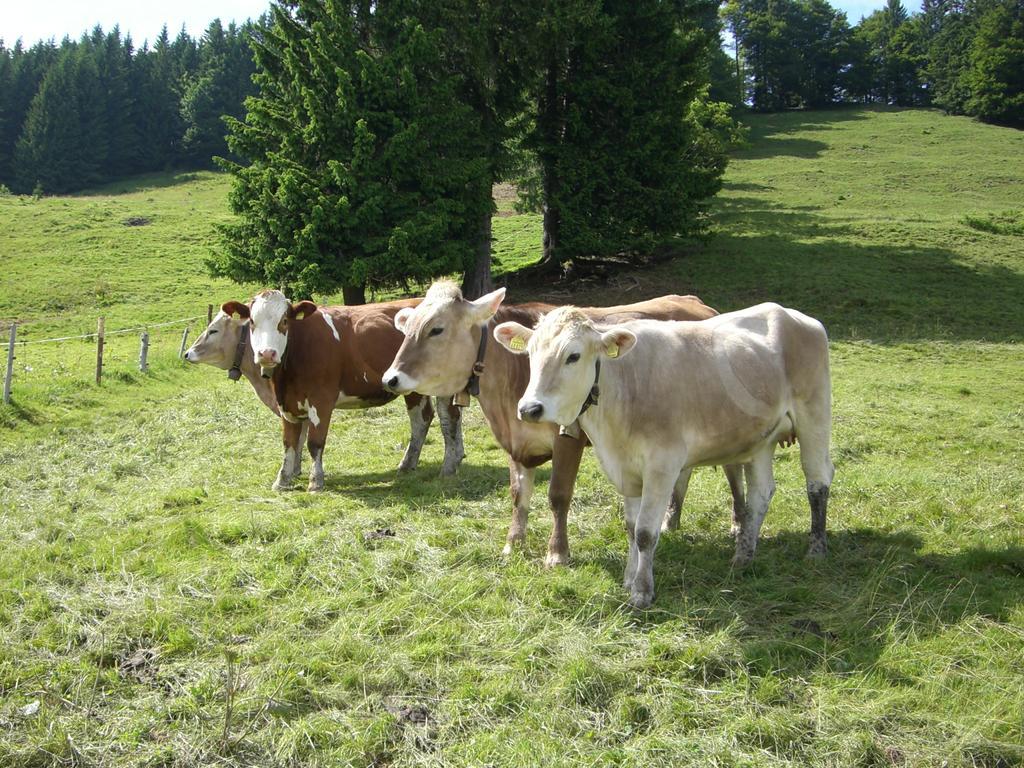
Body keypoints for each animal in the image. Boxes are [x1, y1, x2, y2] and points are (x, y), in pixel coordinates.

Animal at [225, 290, 468, 489]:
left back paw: (448, 466)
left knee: (449, 418)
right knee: (422, 419)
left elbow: (315, 443)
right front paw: (282, 480)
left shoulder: (321, 399)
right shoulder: (287, 402)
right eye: (252, 322)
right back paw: (410, 464)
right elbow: (289, 442)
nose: (267, 354)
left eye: (284, 321)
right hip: (412, 387)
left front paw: (316, 481)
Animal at [380, 280, 741, 565]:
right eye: (406, 329)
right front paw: (513, 544)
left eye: (436, 329)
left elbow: (558, 495)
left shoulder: (570, 436)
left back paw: (738, 525)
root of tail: (698, 303)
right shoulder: (515, 440)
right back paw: (671, 520)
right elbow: (518, 494)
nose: (390, 378)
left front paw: (557, 553)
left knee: (733, 469)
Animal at [493, 303, 831, 610]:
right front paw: (629, 578)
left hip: (813, 416)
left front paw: (642, 592)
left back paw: (816, 549)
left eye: (573, 356)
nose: (529, 408)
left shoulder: (662, 465)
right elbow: (631, 527)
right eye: (530, 353)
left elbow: (645, 532)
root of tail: (791, 314)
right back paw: (743, 556)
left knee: (817, 482)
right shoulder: (626, 469)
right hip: (761, 439)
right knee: (761, 494)